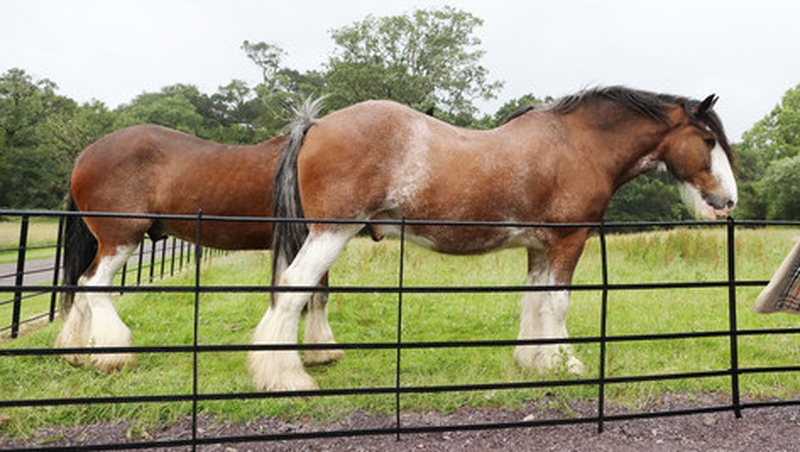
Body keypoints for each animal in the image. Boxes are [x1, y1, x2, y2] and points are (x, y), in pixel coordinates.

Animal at [56, 124, 339, 373]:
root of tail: (84, 156)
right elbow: (315, 291)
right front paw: (322, 350)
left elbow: (316, 292)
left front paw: (319, 351)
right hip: (120, 239)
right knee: (94, 282)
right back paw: (113, 357)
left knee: (82, 284)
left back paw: (75, 352)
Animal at [252, 86, 738, 391]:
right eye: (708, 139)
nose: (728, 201)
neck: (577, 146)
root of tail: (314, 125)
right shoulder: (569, 241)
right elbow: (558, 303)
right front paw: (566, 362)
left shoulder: (540, 247)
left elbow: (534, 301)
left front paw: (534, 361)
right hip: (331, 232)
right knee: (294, 288)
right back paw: (285, 376)